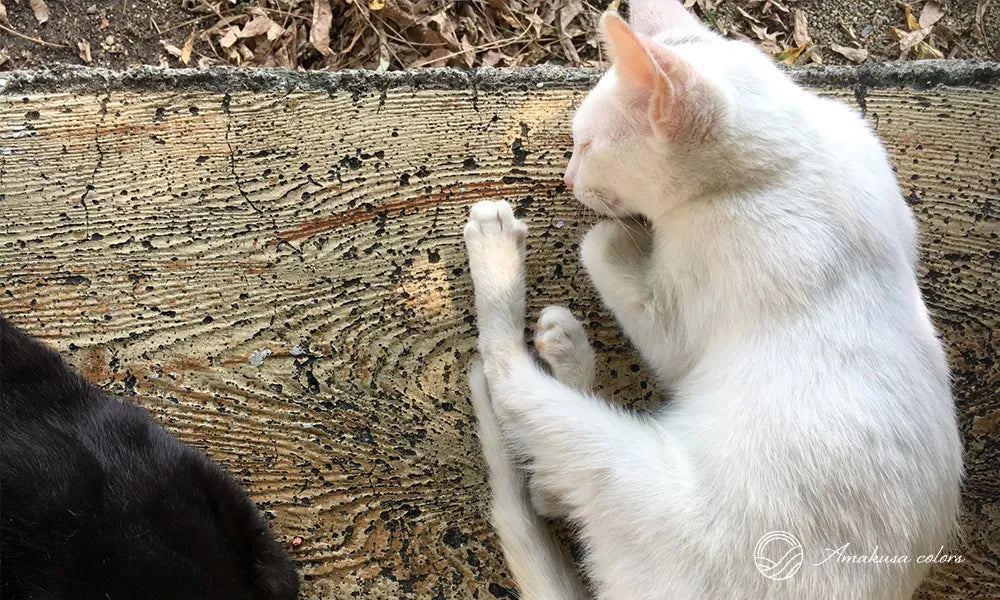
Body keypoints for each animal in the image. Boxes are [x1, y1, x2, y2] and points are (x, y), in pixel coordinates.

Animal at [464, 2, 964, 596]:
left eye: (585, 146)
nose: (566, 179)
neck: (794, 154)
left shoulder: (680, 318)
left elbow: (601, 249)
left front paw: (614, 235)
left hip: (635, 477)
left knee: (515, 397)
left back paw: (497, 258)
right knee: (548, 490)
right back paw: (566, 348)